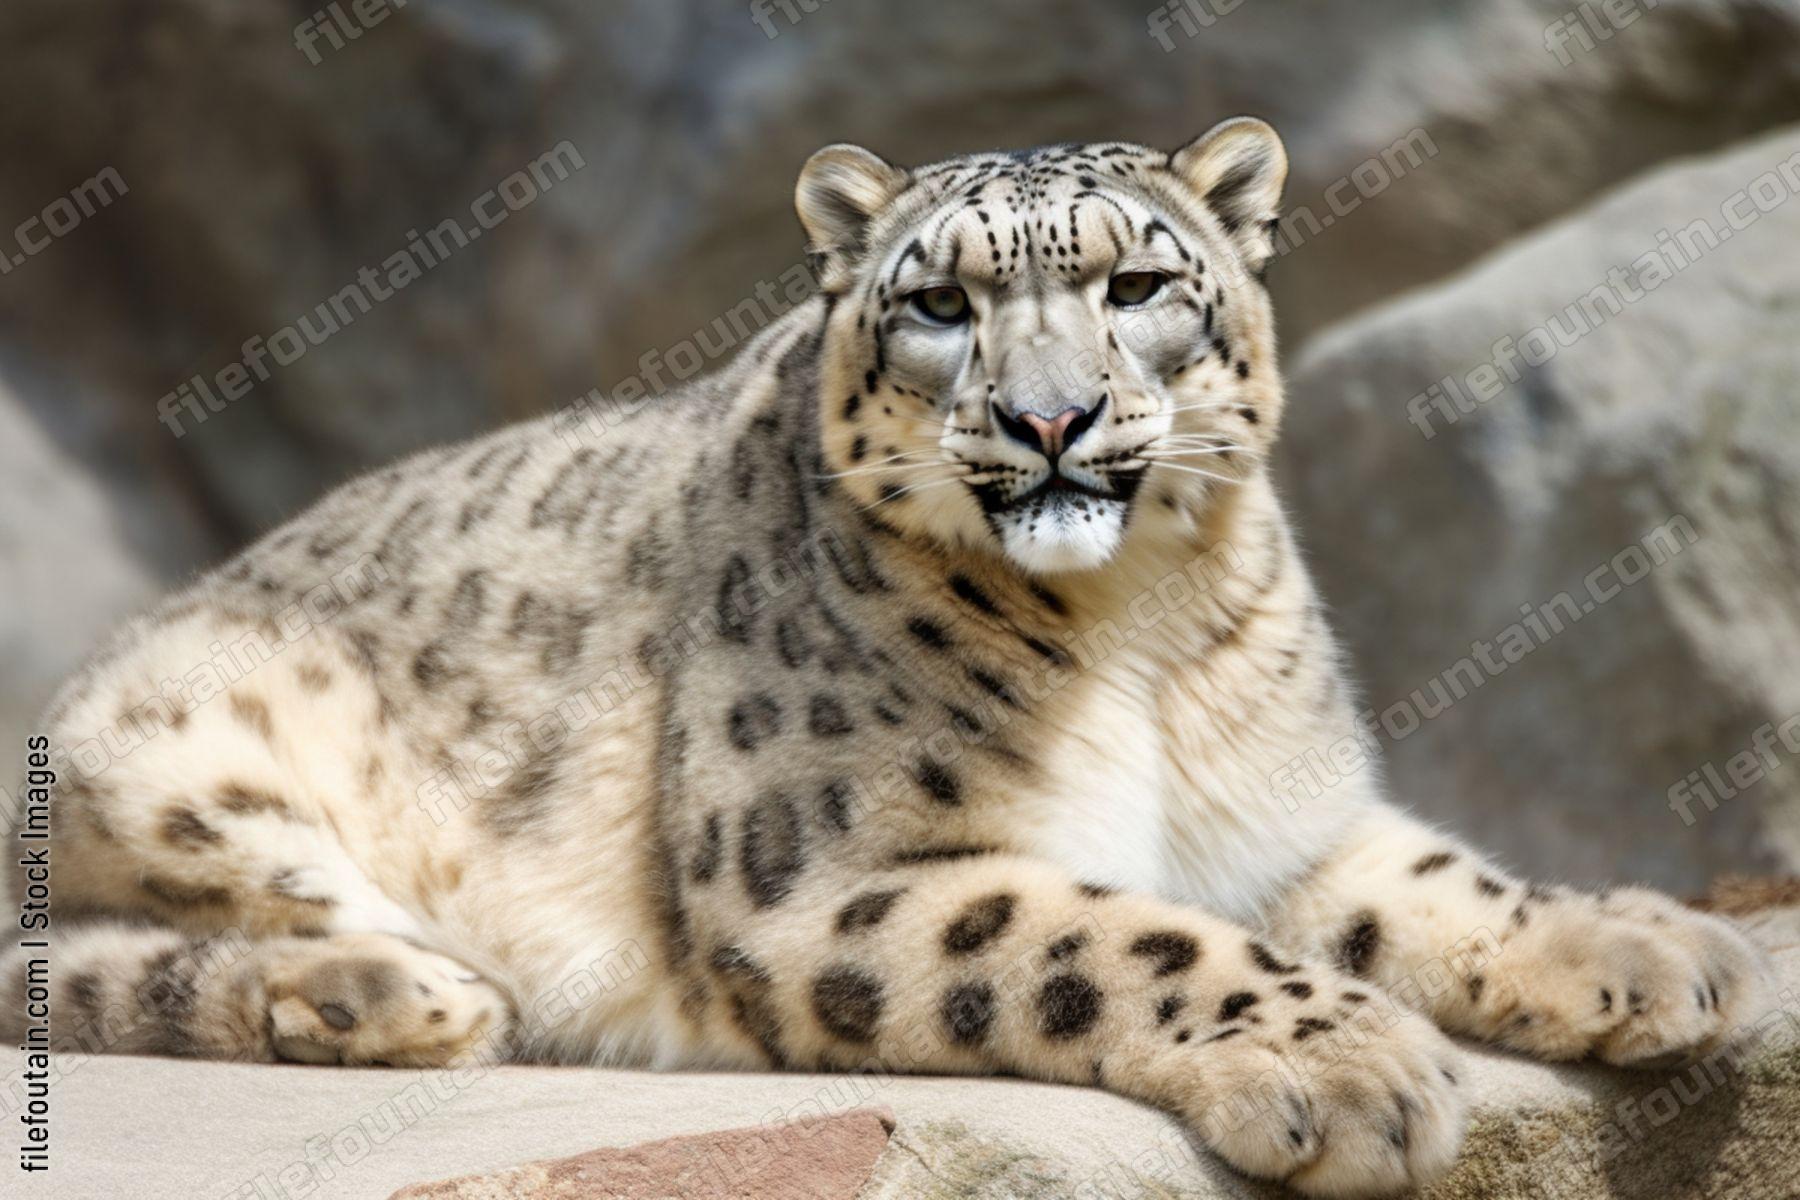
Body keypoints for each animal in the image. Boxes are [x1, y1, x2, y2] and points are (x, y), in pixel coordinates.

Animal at [3, 118, 1775, 1197]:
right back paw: (399, 993)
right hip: (187, 742)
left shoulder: (1279, 819)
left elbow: (1427, 879)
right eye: (937, 305)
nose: (1050, 419)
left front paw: (1647, 947)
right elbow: (1124, 935)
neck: (1136, 632)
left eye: (1141, 282)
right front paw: (1341, 1064)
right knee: (120, 951)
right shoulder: (834, 878)